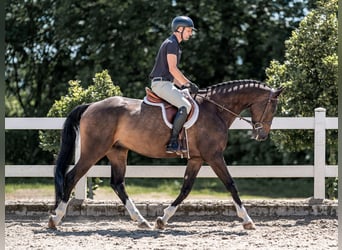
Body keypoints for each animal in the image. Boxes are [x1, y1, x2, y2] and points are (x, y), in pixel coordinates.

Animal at [48, 80, 284, 230]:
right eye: (272, 106)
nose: (262, 135)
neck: (216, 110)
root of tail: (91, 106)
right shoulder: (214, 155)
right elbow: (231, 184)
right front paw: (247, 220)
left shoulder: (197, 159)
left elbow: (186, 189)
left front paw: (162, 219)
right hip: (94, 150)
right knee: (72, 177)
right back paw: (56, 218)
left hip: (117, 151)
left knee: (118, 183)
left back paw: (141, 221)